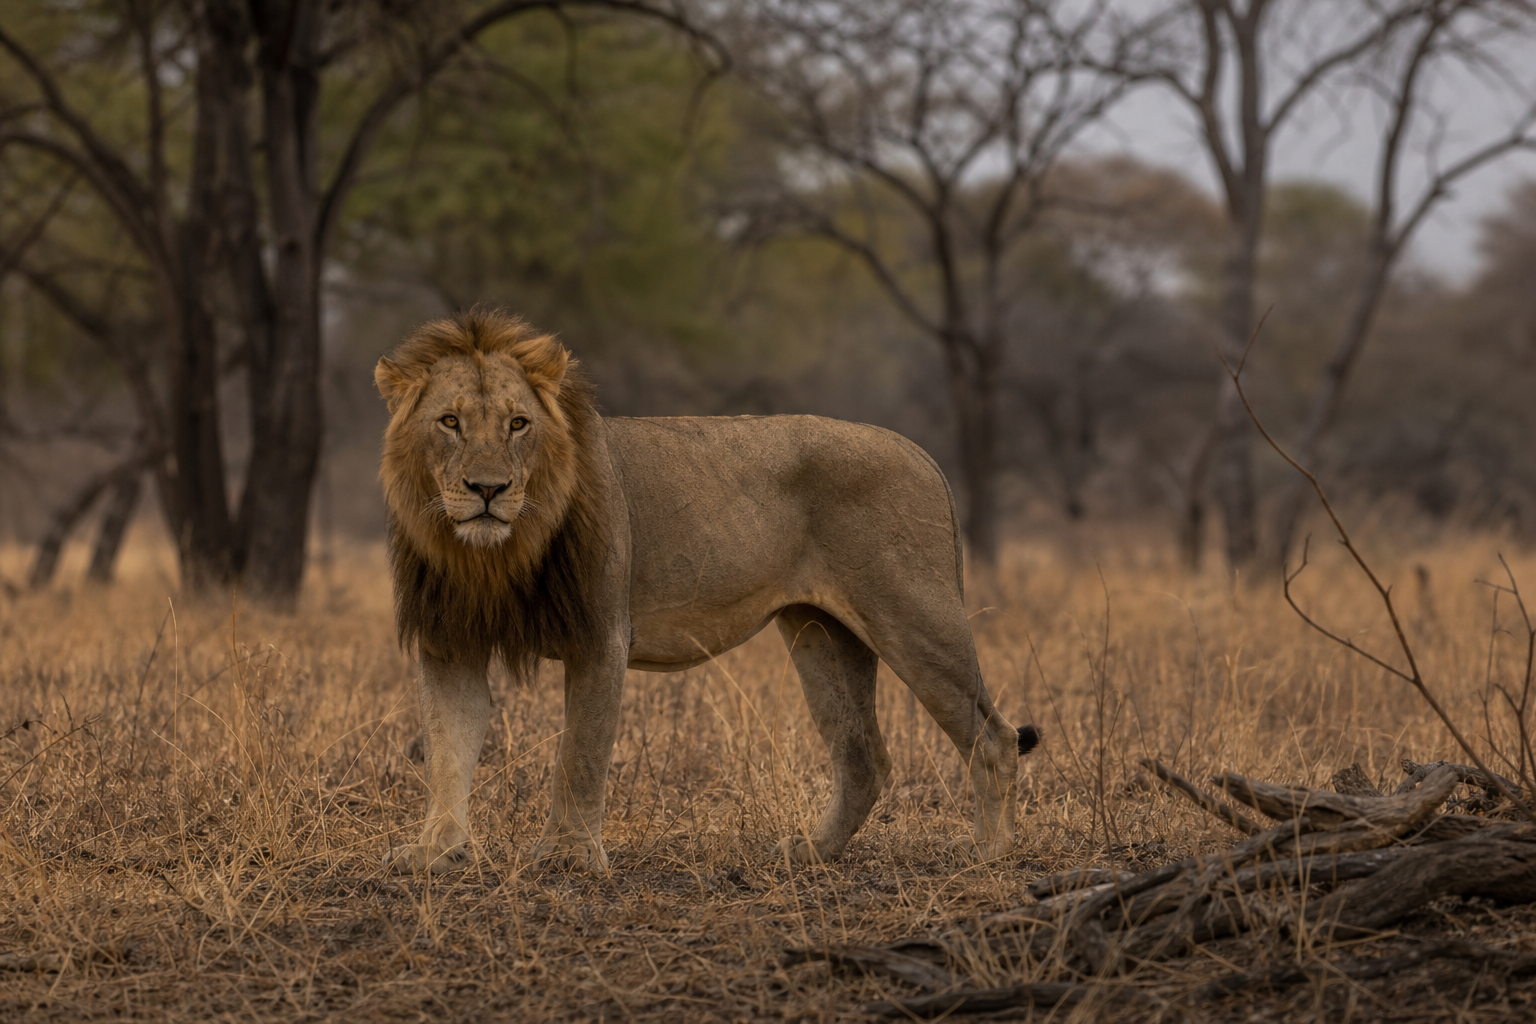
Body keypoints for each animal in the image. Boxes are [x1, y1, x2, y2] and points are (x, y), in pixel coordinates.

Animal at [374, 309, 1035, 874]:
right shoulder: (450, 642)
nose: (488, 489)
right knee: (862, 755)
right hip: (821, 632)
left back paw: (990, 853)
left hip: (914, 617)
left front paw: (567, 854)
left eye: (518, 424)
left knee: (994, 736)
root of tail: (920, 452)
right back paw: (812, 852)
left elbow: (580, 753)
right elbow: (447, 747)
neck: (492, 557)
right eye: (450, 422)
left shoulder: (600, 635)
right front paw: (435, 851)